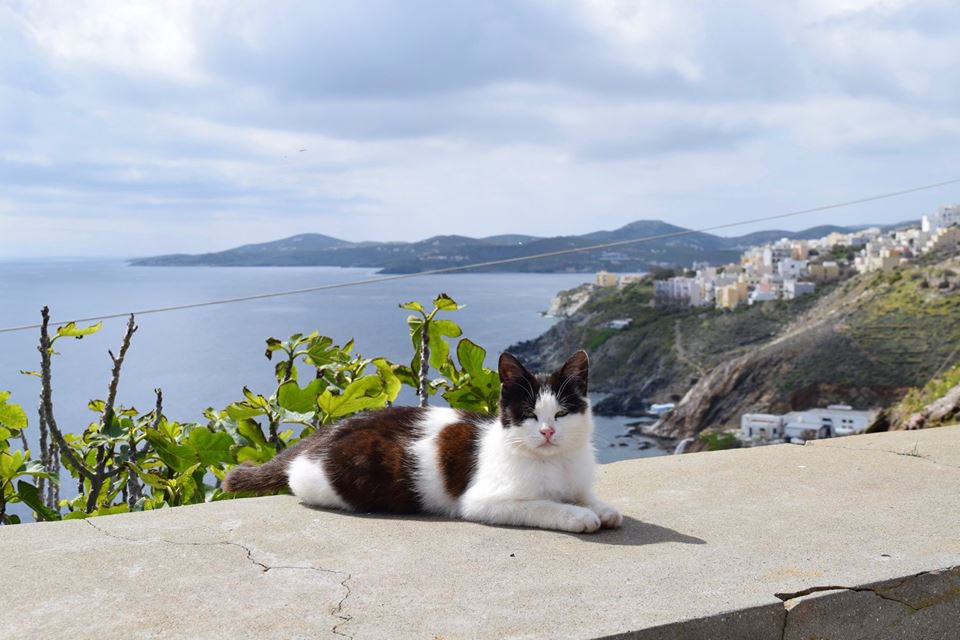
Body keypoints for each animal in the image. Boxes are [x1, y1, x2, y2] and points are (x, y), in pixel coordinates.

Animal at [229, 348, 628, 532]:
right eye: (529, 414)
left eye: (561, 413)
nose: (547, 432)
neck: (554, 463)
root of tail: (325, 434)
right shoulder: (483, 501)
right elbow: (544, 505)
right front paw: (578, 515)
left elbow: (585, 495)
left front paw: (601, 508)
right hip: (326, 479)